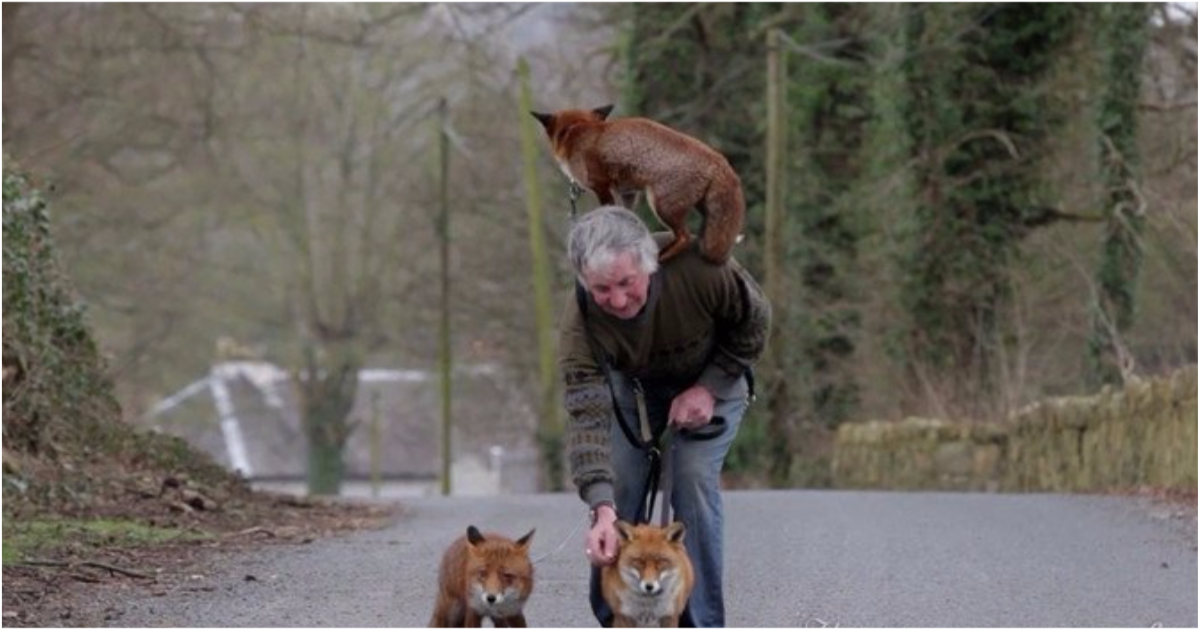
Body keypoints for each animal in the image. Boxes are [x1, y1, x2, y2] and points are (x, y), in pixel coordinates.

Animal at [532, 104, 744, 261]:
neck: (576, 128)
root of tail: (717, 158)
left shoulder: (602, 186)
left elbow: (608, 211)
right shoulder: (628, 192)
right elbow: (627, 215)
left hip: (661, 205)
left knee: (684, 237)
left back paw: (662, 256)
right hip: (700, 208)